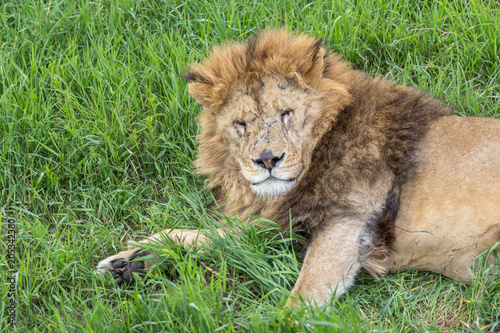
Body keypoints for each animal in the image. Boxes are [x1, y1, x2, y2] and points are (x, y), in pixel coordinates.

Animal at [95, 30, 498, 306]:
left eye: (285, 114)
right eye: (241, 124)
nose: (267, 160)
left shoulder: (348, 218)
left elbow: (301, 299)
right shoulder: (281, 221)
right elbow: (204, 236)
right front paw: (132, 260)